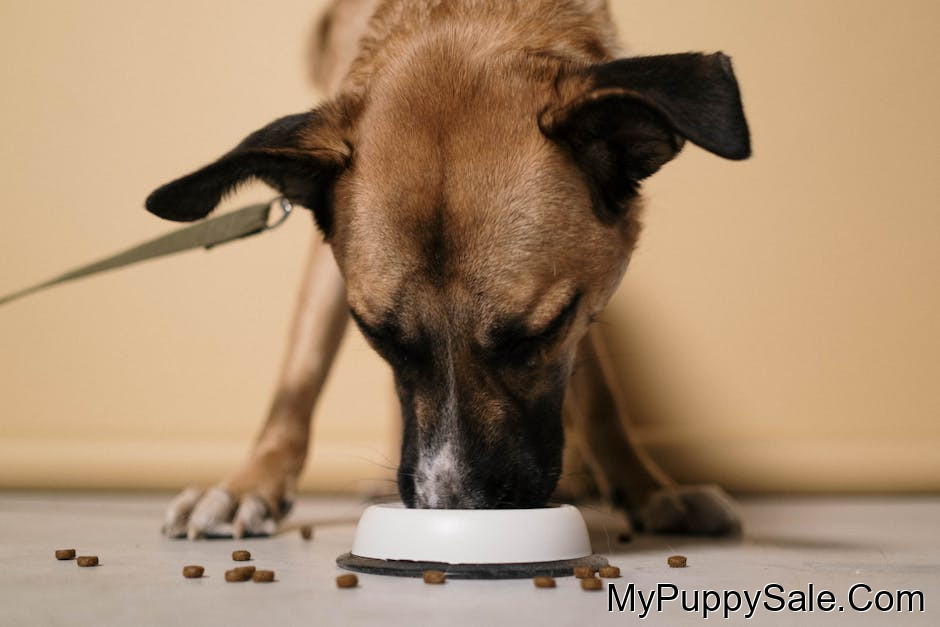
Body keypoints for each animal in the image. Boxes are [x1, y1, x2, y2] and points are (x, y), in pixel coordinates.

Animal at [148, 0, 750, 540]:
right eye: (378, 336)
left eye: (538, 334)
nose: (452, 508)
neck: (461, 15)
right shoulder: (327, 256)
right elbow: (299, 376)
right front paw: (250, 484)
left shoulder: (585, 296)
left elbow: (599, 394)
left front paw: (647, 487)